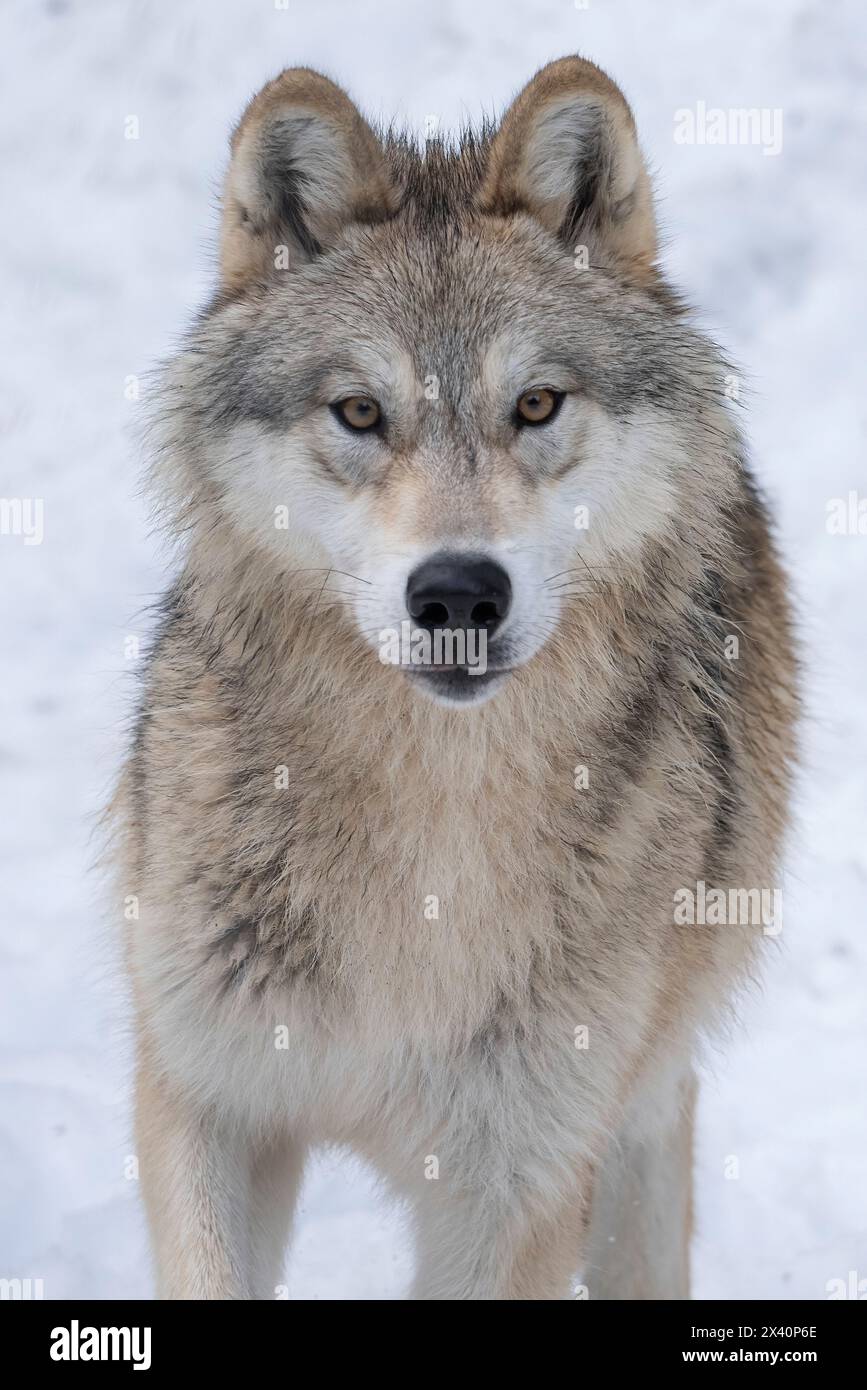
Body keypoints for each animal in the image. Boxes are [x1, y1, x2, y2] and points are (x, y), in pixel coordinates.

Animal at [115, 51, 800, 1289]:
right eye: (359, 411)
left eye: (534, 403)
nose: (459, 594)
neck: (429, 822)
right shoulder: (206, 1096)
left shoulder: (517, 1185)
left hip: (635, 1113)